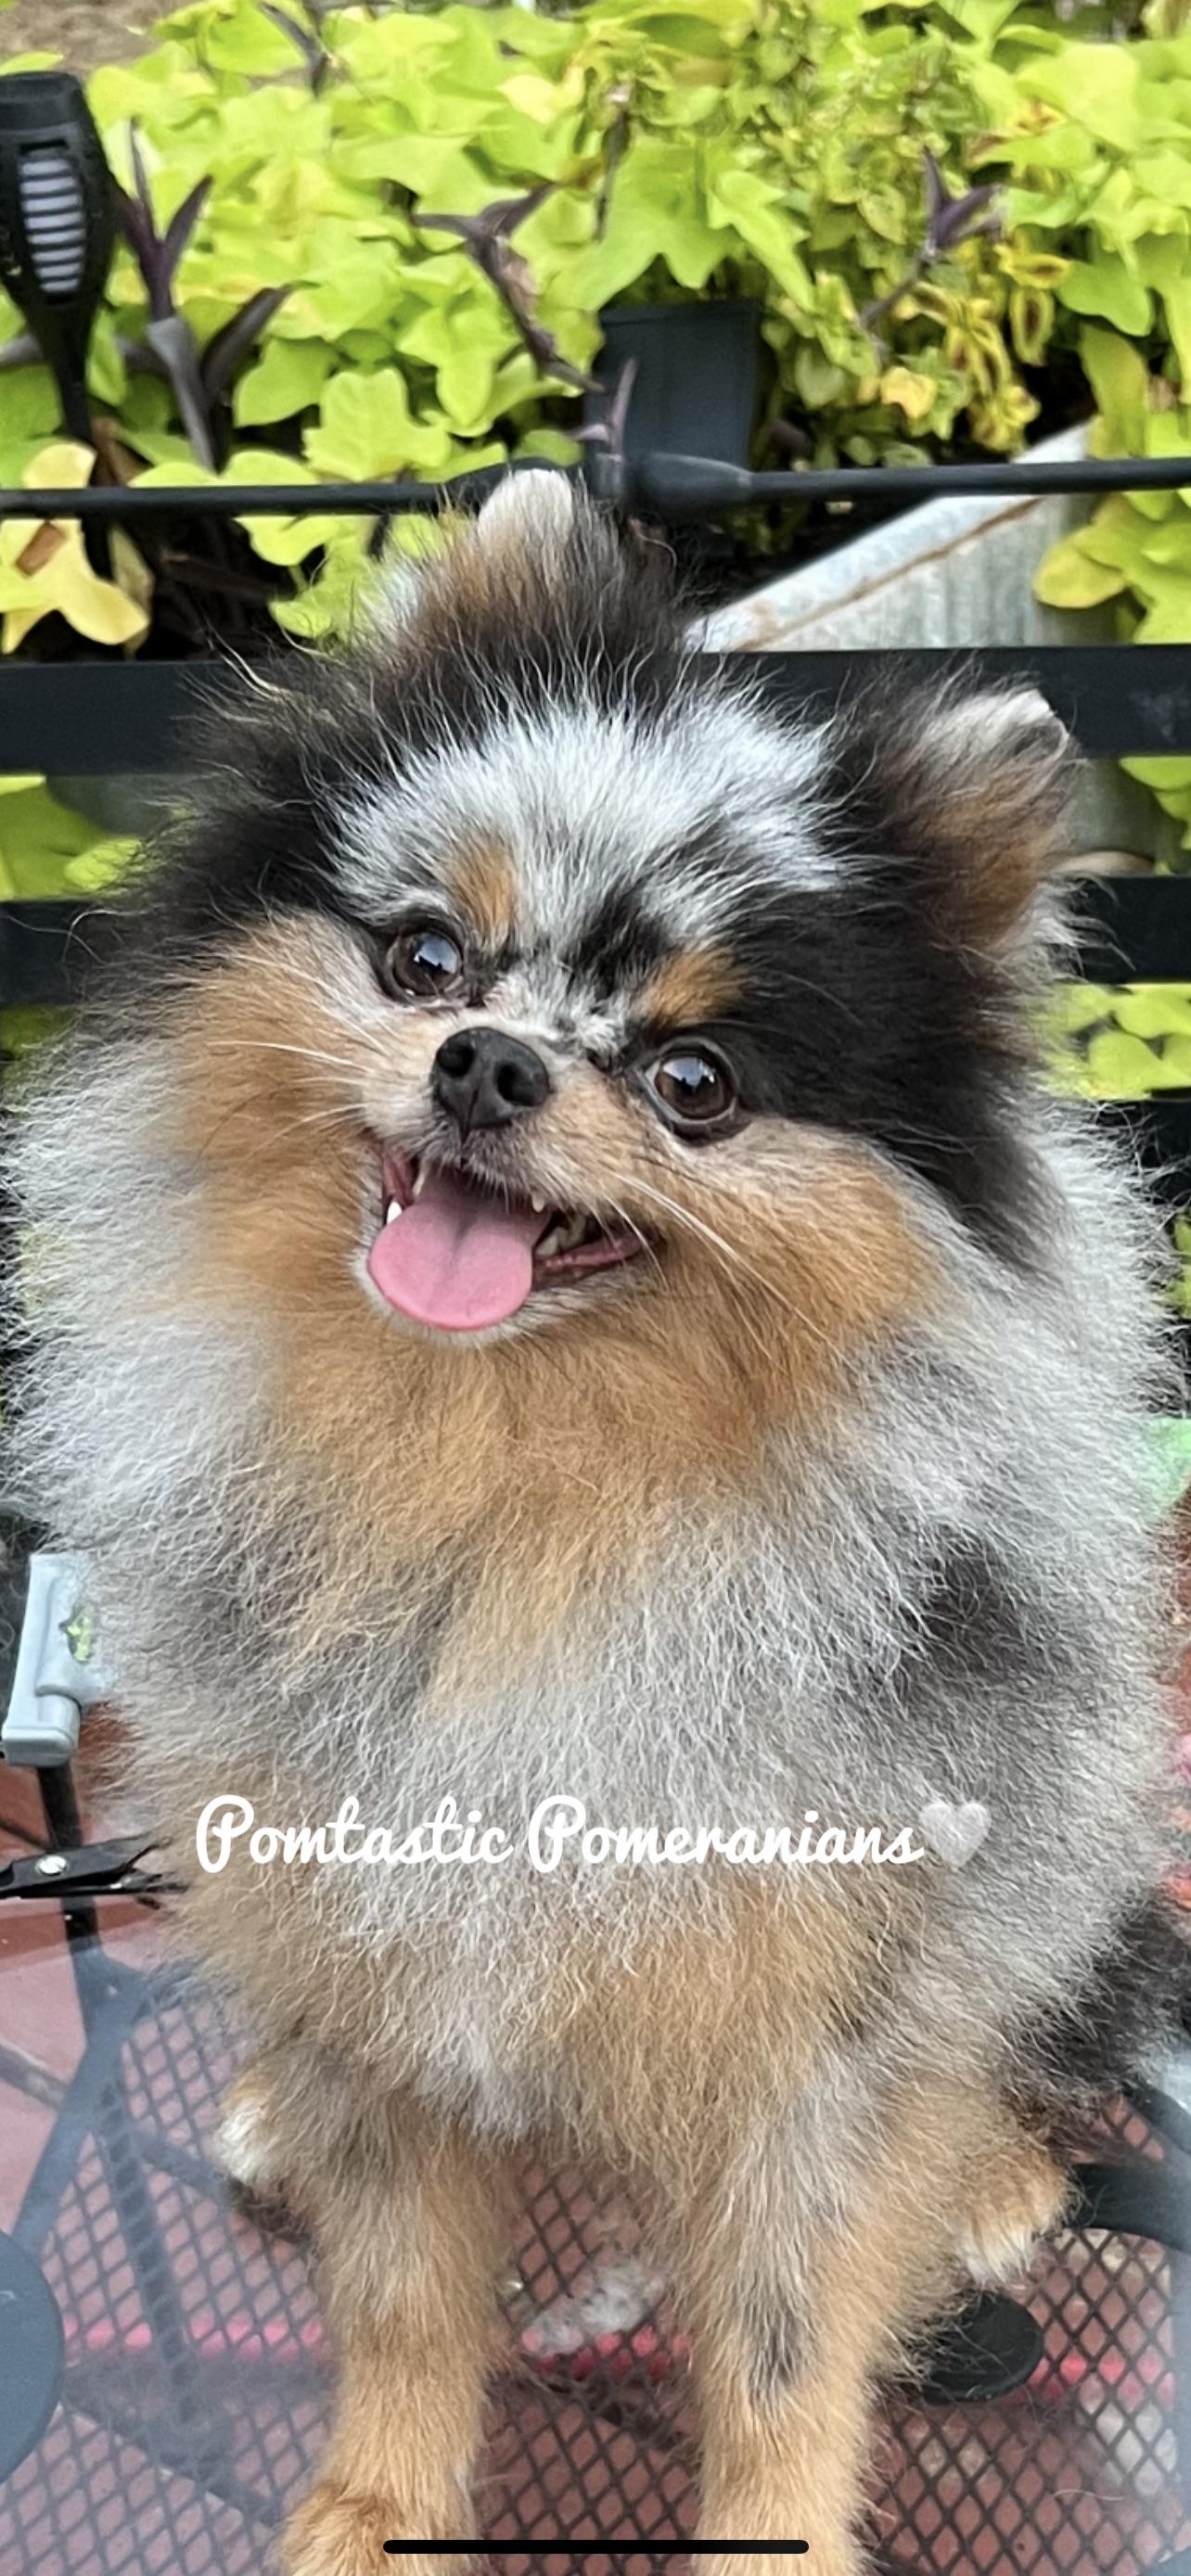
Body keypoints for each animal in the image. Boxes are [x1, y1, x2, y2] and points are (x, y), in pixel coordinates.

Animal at [6, 472, 1188, 2576]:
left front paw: (774, 2526)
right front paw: (370, 2511)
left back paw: (986, 2175)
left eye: (694, 1083)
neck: (516, 1488)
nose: (489, 1060)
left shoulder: (813, 2033)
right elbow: (401, 2301)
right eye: (420, 960)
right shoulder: (378, 1950)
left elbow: (786, 2354)